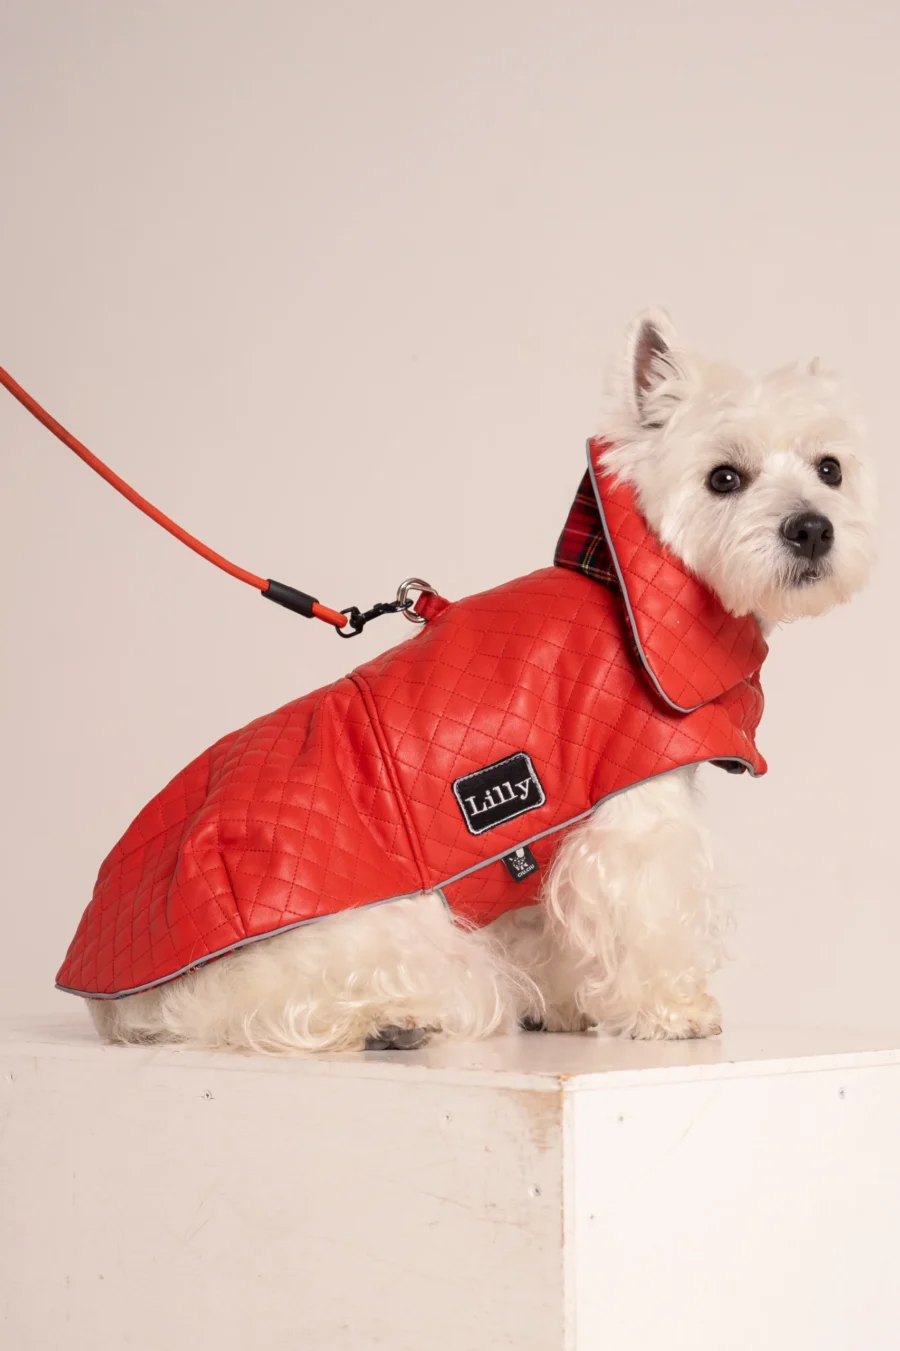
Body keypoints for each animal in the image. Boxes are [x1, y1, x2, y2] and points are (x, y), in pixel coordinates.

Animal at [87, 313, 870, 1053]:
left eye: (830, 468)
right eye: (724, 477)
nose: (811, 529)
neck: (626, 587)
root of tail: (116, 994)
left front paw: (570, 1005)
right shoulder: (634, 816)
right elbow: (646, 919)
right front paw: (672, 1011)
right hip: (380, 935)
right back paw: (390, 1019)